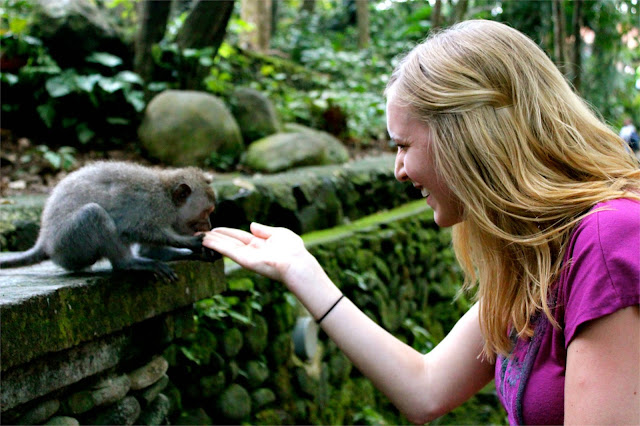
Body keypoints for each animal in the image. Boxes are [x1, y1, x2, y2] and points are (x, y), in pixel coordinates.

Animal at [0, 160, 219, 280]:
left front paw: (192, 252)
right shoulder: (152, 206)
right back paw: (129, 263)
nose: (209, 225)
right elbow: (139, 229)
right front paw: (191, 242)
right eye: (206, 212)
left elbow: (149, 248)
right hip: (67, 246)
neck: (168, 197)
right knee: (93, 214)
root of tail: (44, 240)